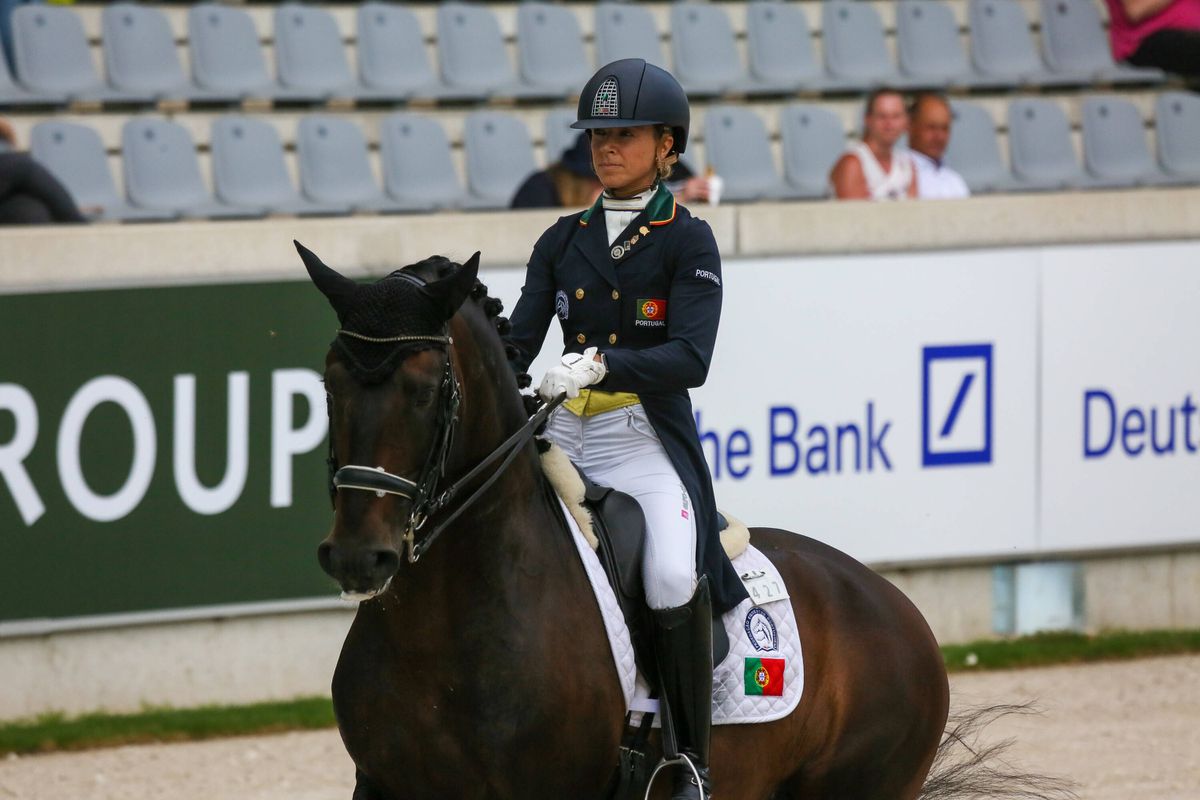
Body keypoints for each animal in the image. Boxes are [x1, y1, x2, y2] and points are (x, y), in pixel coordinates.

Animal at [304, 245, 950, 800]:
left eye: (423, 392)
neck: (441, 625)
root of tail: (901, 610)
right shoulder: (382, 786)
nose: (358, 557)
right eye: (329, 386)